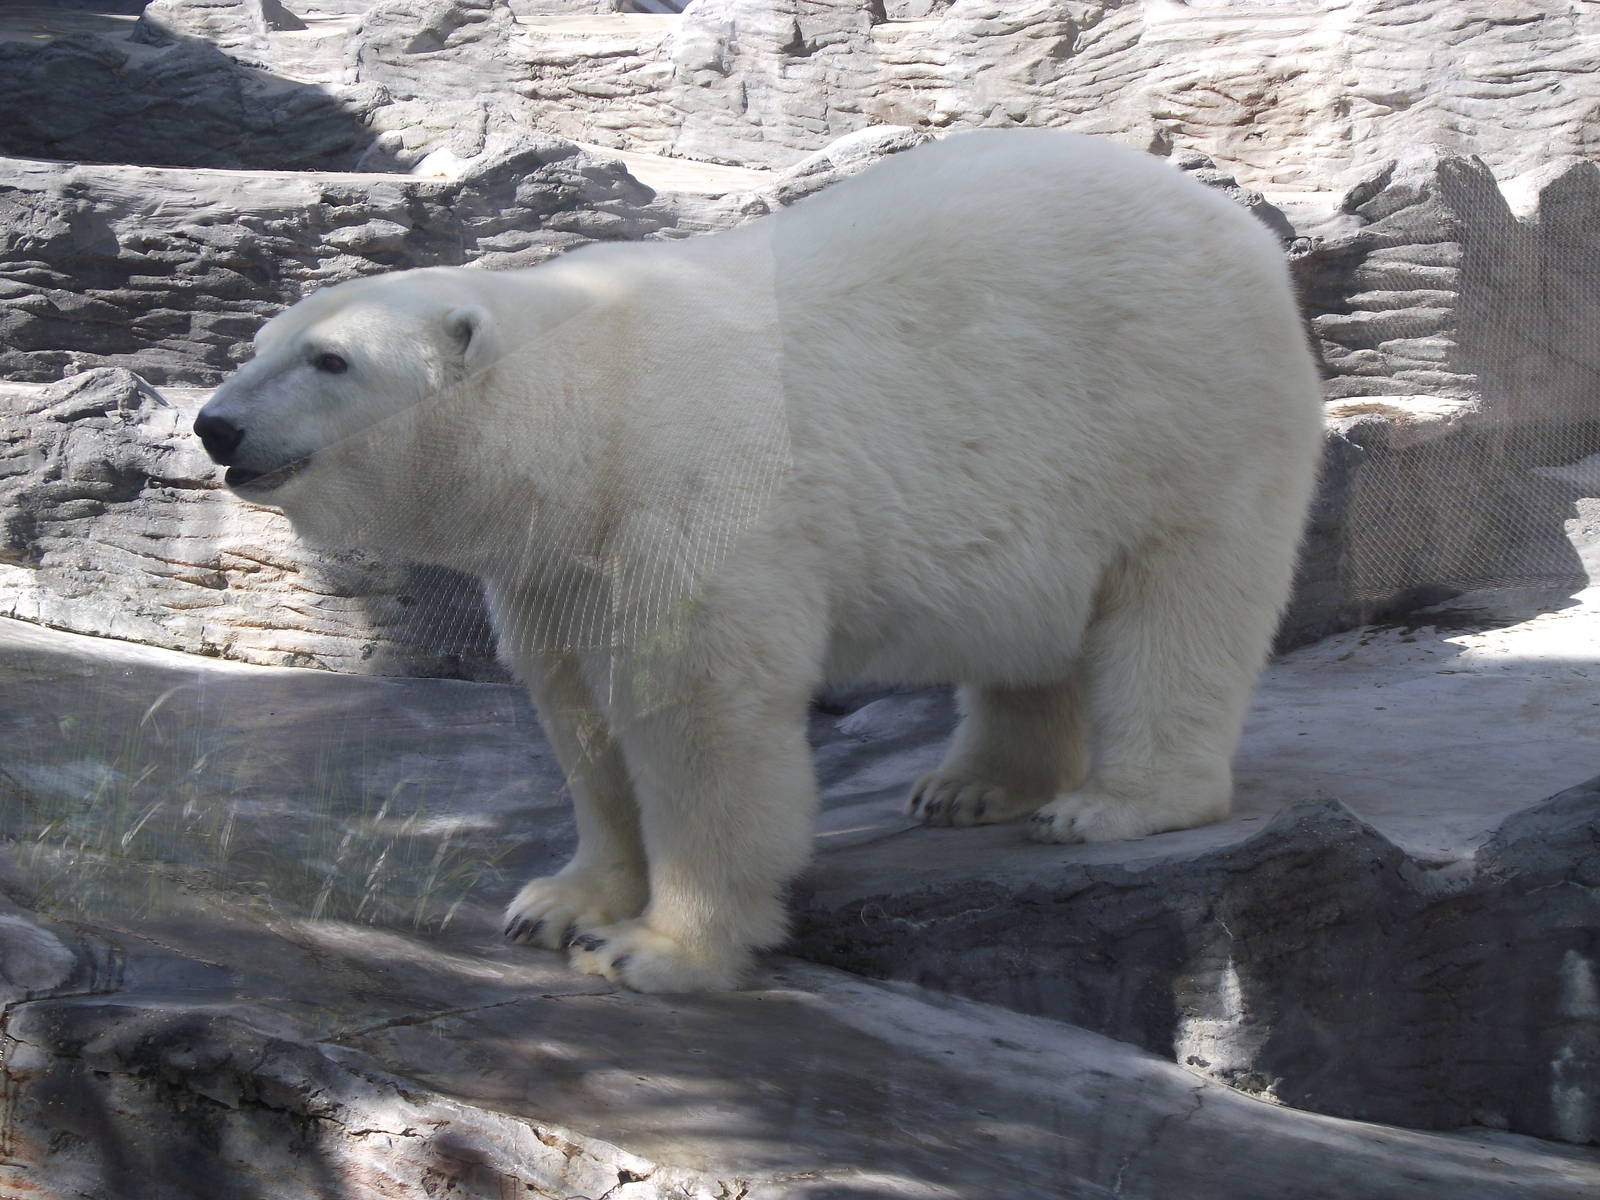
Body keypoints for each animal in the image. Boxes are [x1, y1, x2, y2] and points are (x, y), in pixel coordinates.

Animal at [194, 129, 1324, 993]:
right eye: (259, 344)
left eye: (331, 361)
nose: (215, 425)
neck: (585, 415)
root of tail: (1243, 233)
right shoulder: (559, 562)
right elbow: (578, 712)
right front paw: (557, 901)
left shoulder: (691, 497)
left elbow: (700, 719)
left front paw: (651, 948)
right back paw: (967, 788)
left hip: (1178, 412)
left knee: (1181, 608)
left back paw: (1118, 802)